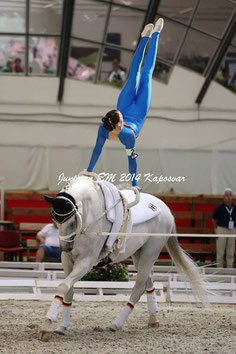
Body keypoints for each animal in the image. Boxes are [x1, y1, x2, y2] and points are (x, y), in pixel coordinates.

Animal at [39, 176, 208, 342]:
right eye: (54, 219)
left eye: (73, 221)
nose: (65, 247)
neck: (89, 214)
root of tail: (166, 209)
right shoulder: (67, 260)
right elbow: (68, 290)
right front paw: (62, 326)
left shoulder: (86, 262)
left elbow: (62, 286)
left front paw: (46, 326)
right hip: (139, 254)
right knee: (148, 281)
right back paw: (153, 319)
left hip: (151, 251)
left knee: (139, 286)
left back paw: (116, 324)